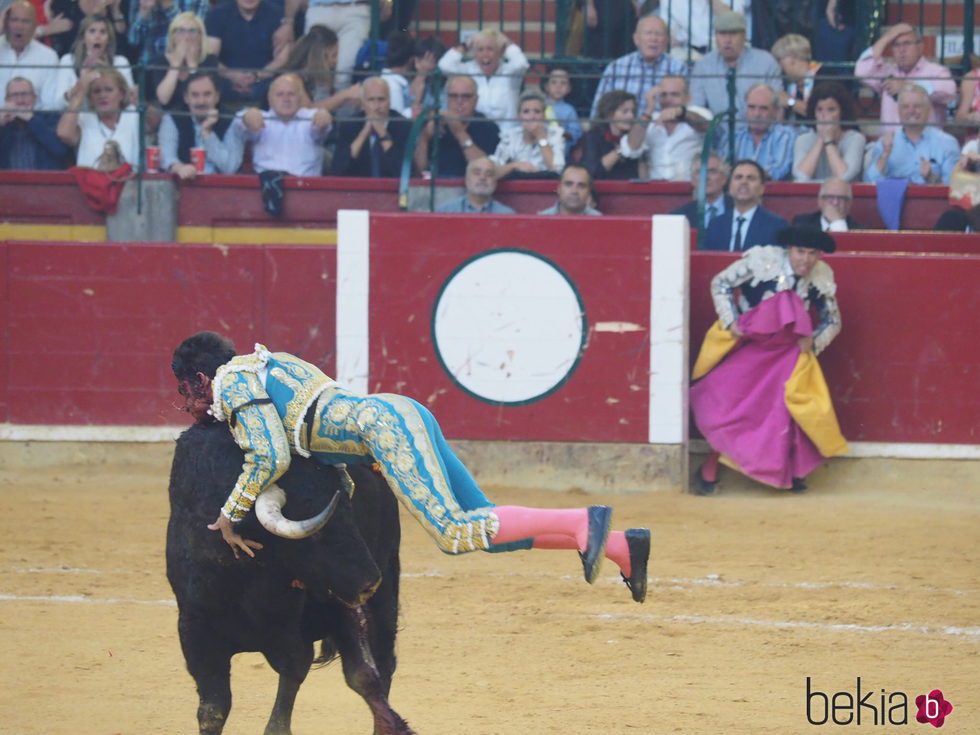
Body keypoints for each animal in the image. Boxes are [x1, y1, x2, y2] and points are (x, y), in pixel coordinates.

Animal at [166, 420, 418, 735]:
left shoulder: (305, 628)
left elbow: (303, 683)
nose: (369, 583)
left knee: (379, 665)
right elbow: (212, 710)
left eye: (350, 514)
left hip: (384, 586)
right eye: (318, 534)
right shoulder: (195, 633)